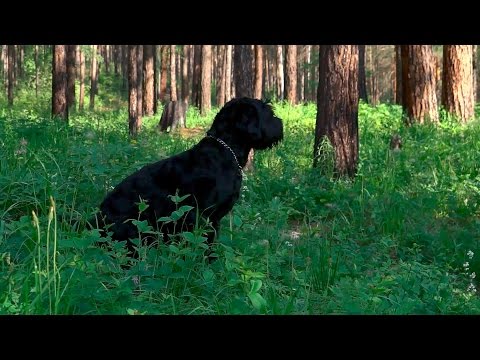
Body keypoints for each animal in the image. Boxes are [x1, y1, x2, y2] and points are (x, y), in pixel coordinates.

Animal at [91, 97, 282, 258]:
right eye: (268, 112)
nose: (280, 122)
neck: (225, 151)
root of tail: (93, 222)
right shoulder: (201, 216)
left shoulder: (214, 219)